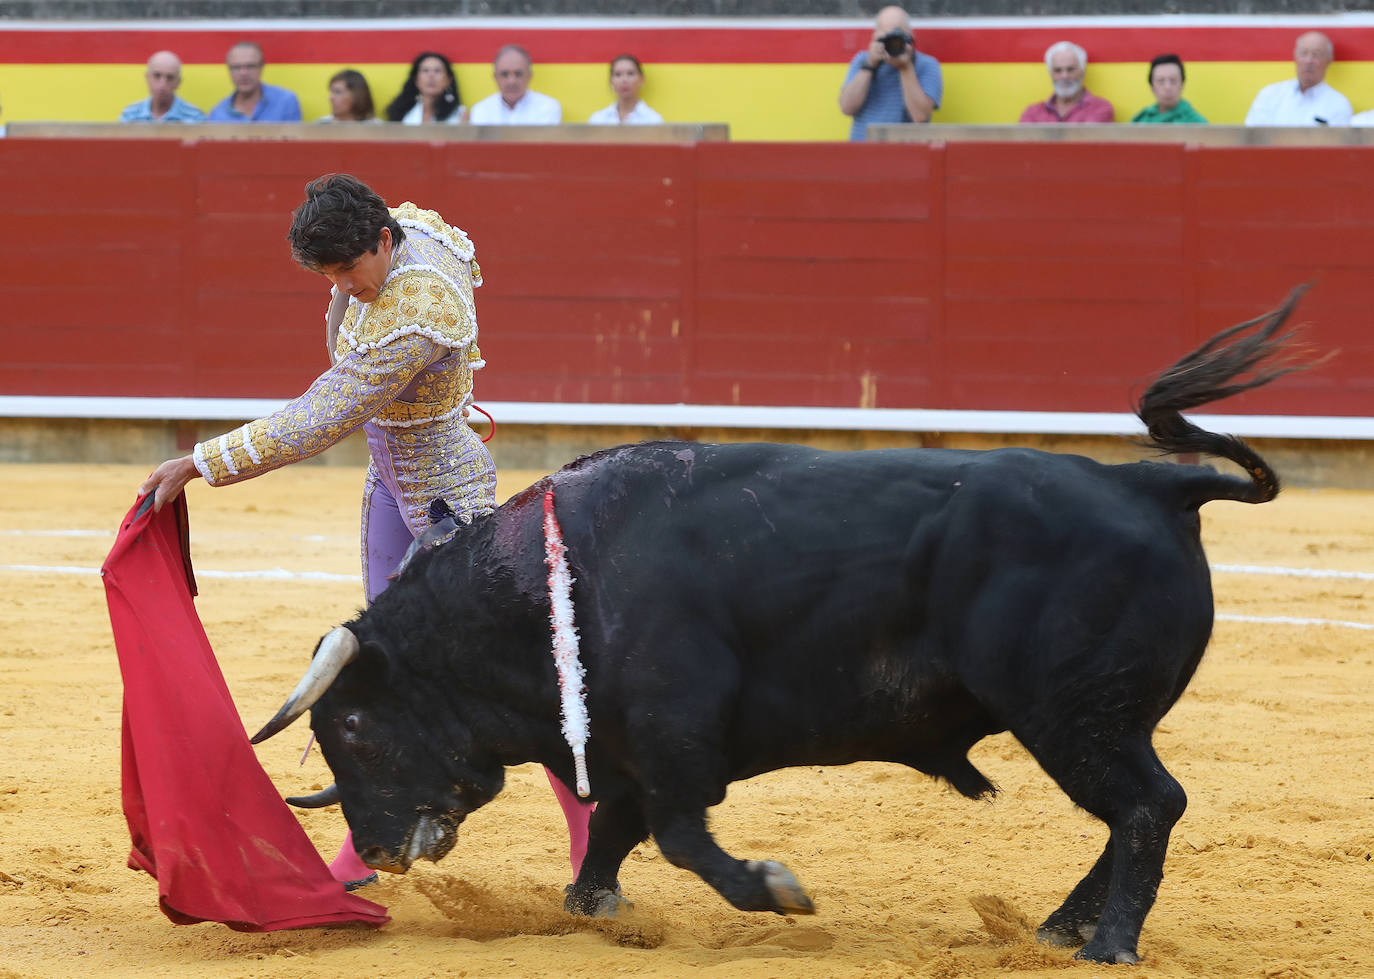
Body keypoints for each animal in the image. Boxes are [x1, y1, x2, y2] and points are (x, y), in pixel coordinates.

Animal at [255, 292, 1308, 961]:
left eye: (353, 726)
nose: (378, 850)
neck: (541, 589)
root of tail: (1152, 483)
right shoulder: (630, 745)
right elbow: (613, 838)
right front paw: (602, 910)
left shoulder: (677, 735)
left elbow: (681, 835)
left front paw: (776, 891)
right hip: (1100, 720)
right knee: (1137, 811)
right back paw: (1058, 928)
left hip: (1074, 713)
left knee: (1148, 806)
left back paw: (1109, 945)